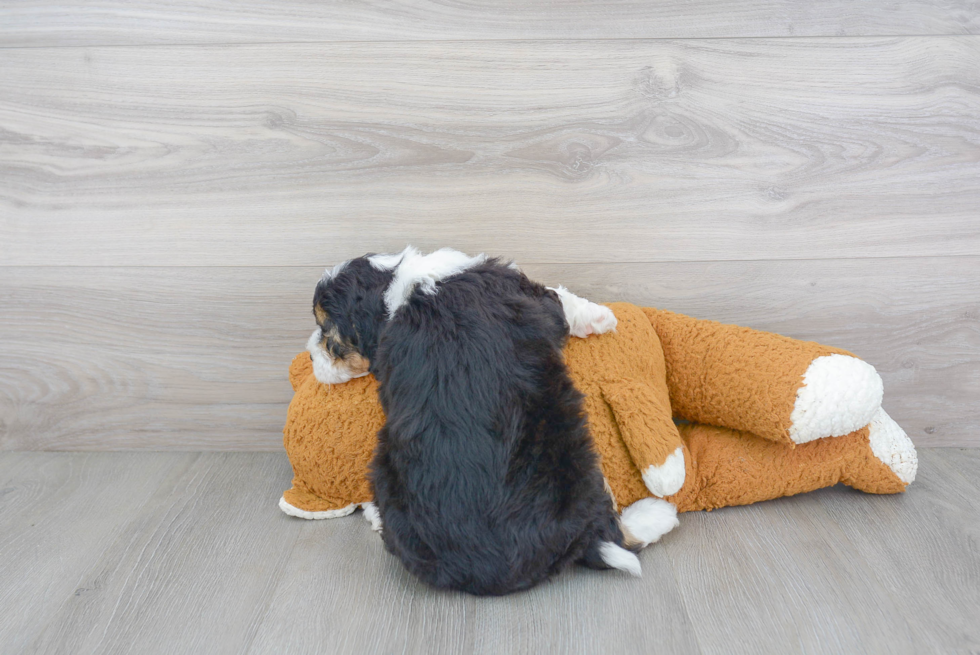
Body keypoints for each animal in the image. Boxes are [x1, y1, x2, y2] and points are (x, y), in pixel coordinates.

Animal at [310, 249, 668, 596]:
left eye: (327, 335)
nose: (311, 356)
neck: (397, 287)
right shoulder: (529, 295)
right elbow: (560, 300)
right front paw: (600, 317)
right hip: (572, 458)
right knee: (614, 532)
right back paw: (655, 513)